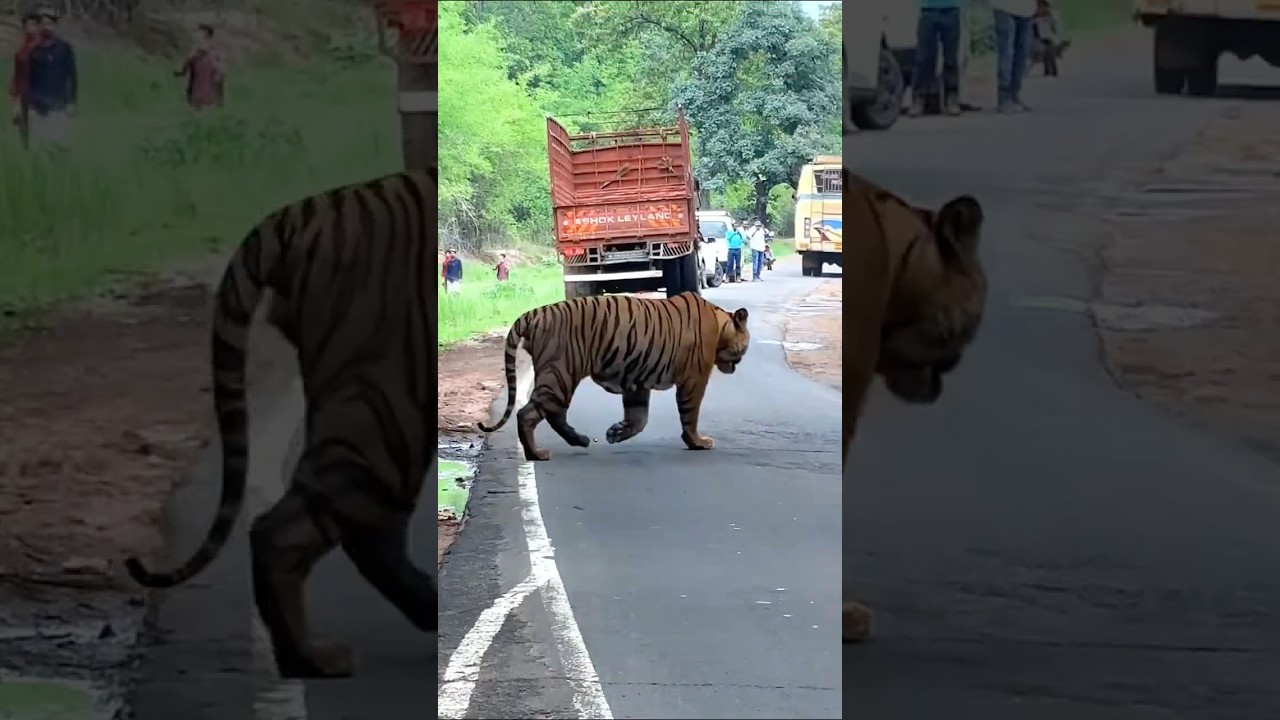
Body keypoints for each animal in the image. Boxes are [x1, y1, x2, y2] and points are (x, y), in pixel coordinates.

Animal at [478, 292, 751, 461]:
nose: (738, 364)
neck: (721, 325)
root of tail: (535, 313)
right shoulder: (694, 380)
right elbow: (690, 415)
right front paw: (698, 442)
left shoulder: (637, 379)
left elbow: (639, 418)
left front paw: (616, 433)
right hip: (560, 374)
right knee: (528, 414)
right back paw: (537, 454)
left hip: (560, 377)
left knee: (555, 414)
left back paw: (580, 440)